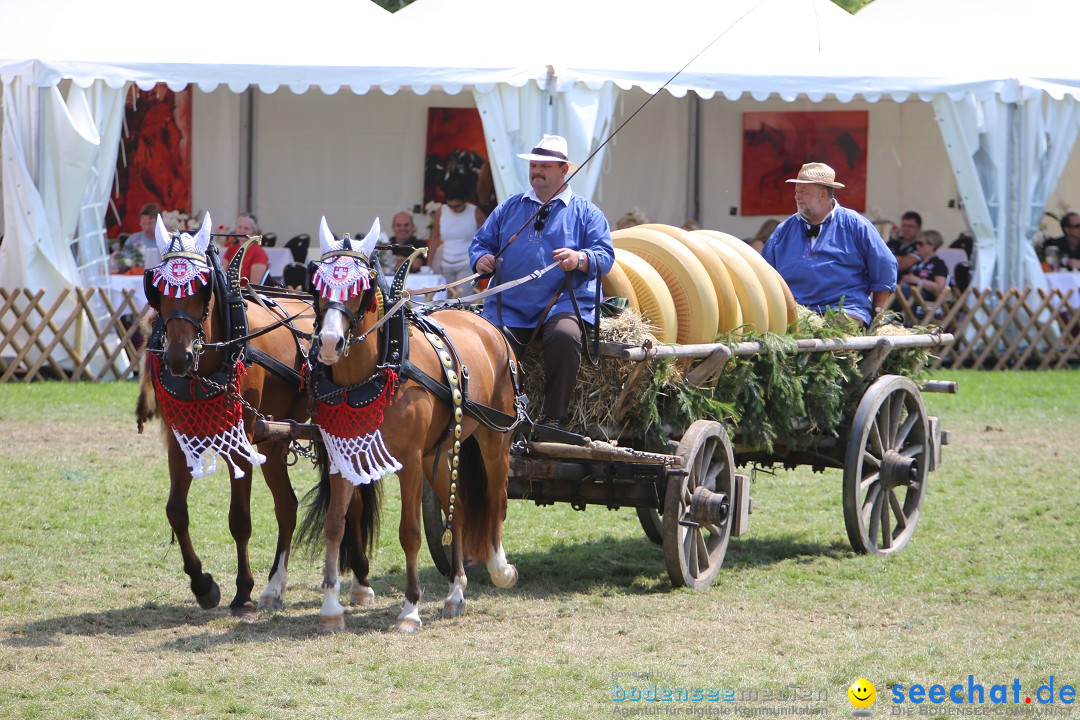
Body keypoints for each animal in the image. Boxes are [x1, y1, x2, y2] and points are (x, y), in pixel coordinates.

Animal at [134, 213, 315, 621]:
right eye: (158, 289)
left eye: (201, 289)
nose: (179, 358)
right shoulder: (179, 439)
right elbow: (176, 511)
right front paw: (203, 586)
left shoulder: (241, 441)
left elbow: (240, 520)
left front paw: (242, 591)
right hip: (276, 441)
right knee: (288, 506)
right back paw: (275, 586)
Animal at [302, 216, 520, 634]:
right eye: (317, 284)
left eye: (360, 288)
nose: (330, 342)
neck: (373, 373)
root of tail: (484, 321)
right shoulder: (340, 458)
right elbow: (335, 525)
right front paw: (331, 609)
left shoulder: (410, 462)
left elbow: (410, 534)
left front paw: (410, 608)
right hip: (442, 450)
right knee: (460, 508)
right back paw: (455, 592)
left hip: (494, 437)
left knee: (496, 496)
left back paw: (500, 569)